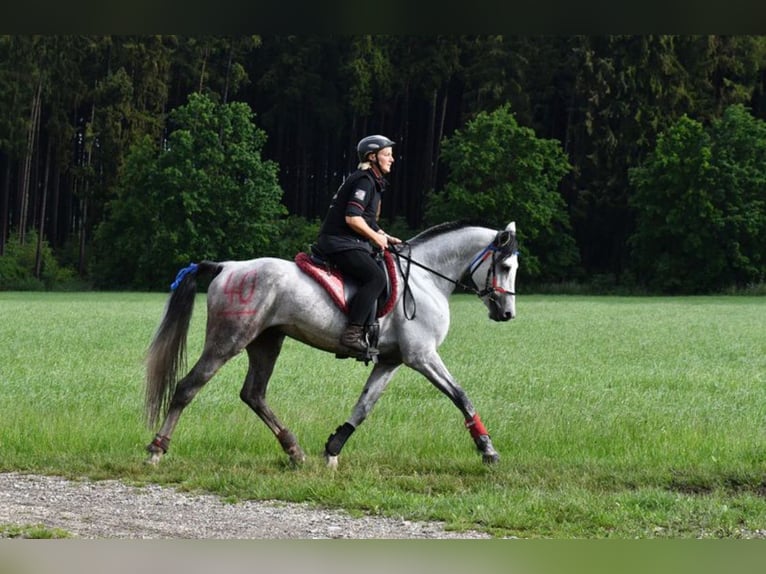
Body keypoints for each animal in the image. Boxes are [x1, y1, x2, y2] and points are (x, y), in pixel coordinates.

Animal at [145, 220, 520, 468]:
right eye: (504, 265)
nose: (507, 313)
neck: (426, 278)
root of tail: (227, 267)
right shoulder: (422, 356)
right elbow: (460, 395)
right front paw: (487, 450)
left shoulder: (391, 360)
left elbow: (364, 406)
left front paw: (333, 449)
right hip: (228, 340)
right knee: (188, 387)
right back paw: (156, 449)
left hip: (267, 342)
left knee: (254, 394)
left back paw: (294, 450)